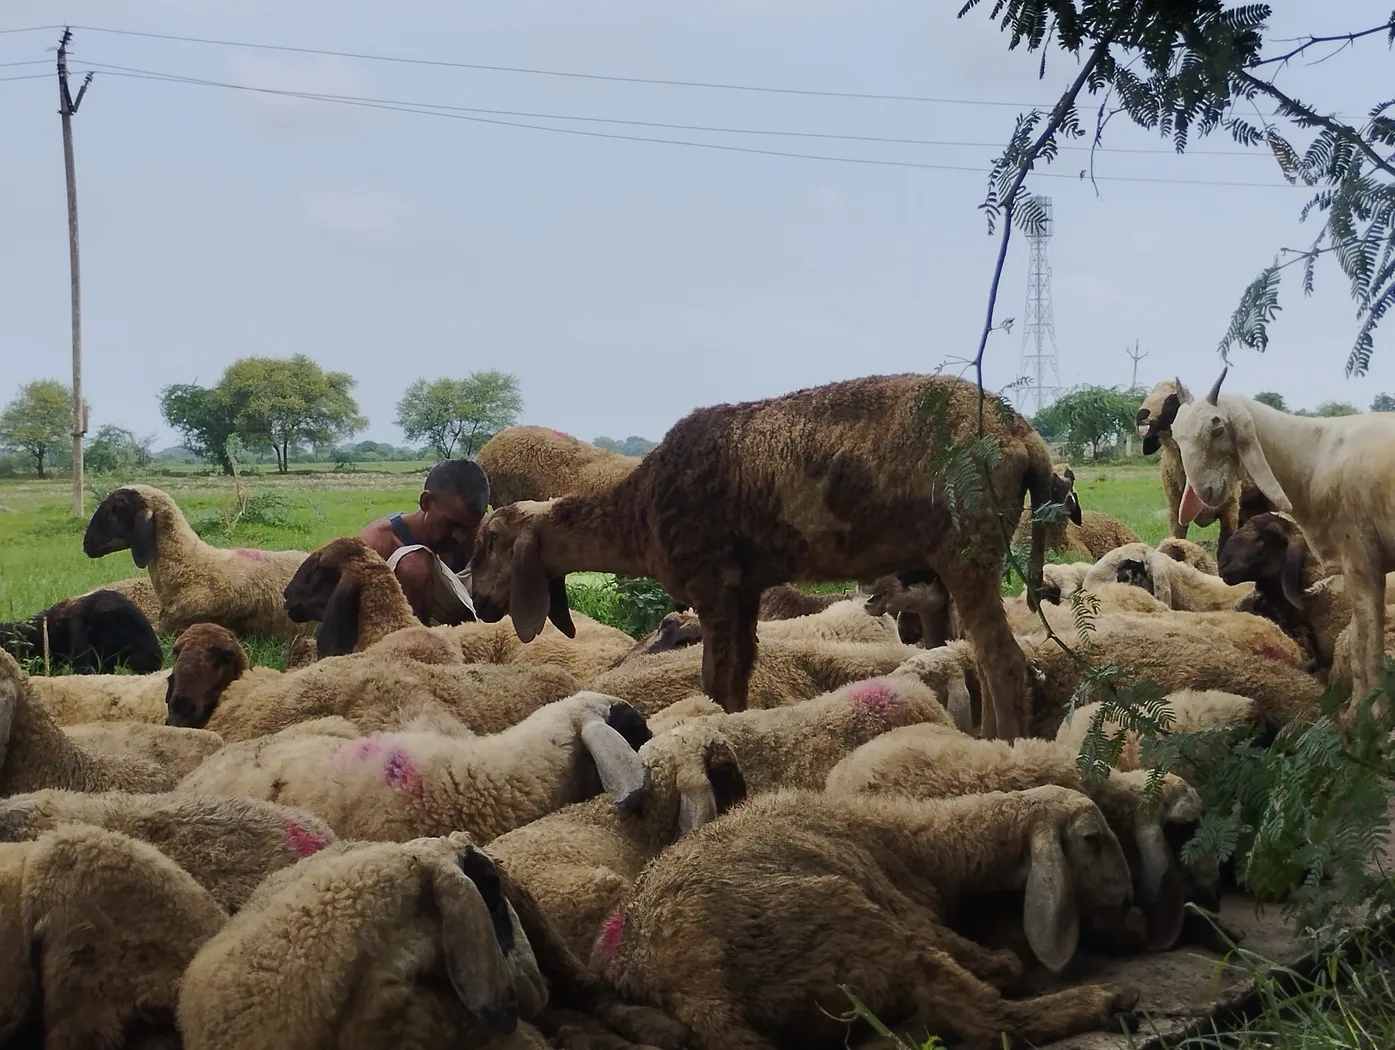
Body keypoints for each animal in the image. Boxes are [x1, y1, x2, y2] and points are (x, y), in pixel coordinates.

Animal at [593, 786, 1140, 1050]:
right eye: (1092, 839)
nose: (1131, 904)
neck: (920, 844)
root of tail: (694, 990)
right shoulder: (915, 916)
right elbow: (1001, 966)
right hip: (855, 922)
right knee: (989, 1021)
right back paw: (1103, 1000)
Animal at [1170, 368, 1395, 710]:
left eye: (1217, 427)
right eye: (1174, 434)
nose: (1205, 493)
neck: (1314, 457)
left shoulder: (1362, 560)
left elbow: (1365, 649)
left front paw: (1370, 715)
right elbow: (1360, 646)